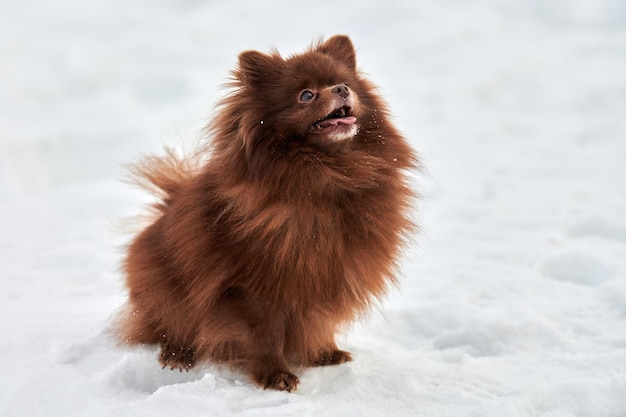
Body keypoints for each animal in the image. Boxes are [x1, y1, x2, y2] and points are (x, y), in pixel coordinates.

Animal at [119, 35, 416, 390]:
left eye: (344, 83)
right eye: (306, 95)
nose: (342, 89)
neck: (329, 176)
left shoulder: (322, 274)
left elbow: (316, 320)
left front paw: (322, 353)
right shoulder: (255, 289)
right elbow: (265, 335)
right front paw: (276, 375)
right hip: (165, 291)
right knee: (168, 326)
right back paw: (177, 355)